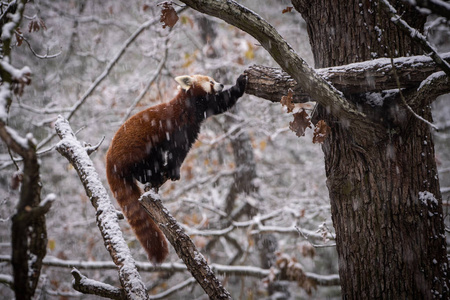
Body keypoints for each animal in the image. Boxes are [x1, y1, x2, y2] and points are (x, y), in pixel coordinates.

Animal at [105, 74, 246, 262]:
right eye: (210, 82)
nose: (221, 84)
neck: (189, 105)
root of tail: (109, 158)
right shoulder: (180, 124)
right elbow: (176, 151)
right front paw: (173, 171)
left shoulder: (200, 114)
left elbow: (221, 103)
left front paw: (240, 83)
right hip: (136, 152)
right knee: (144, 165)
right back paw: (153, 176)